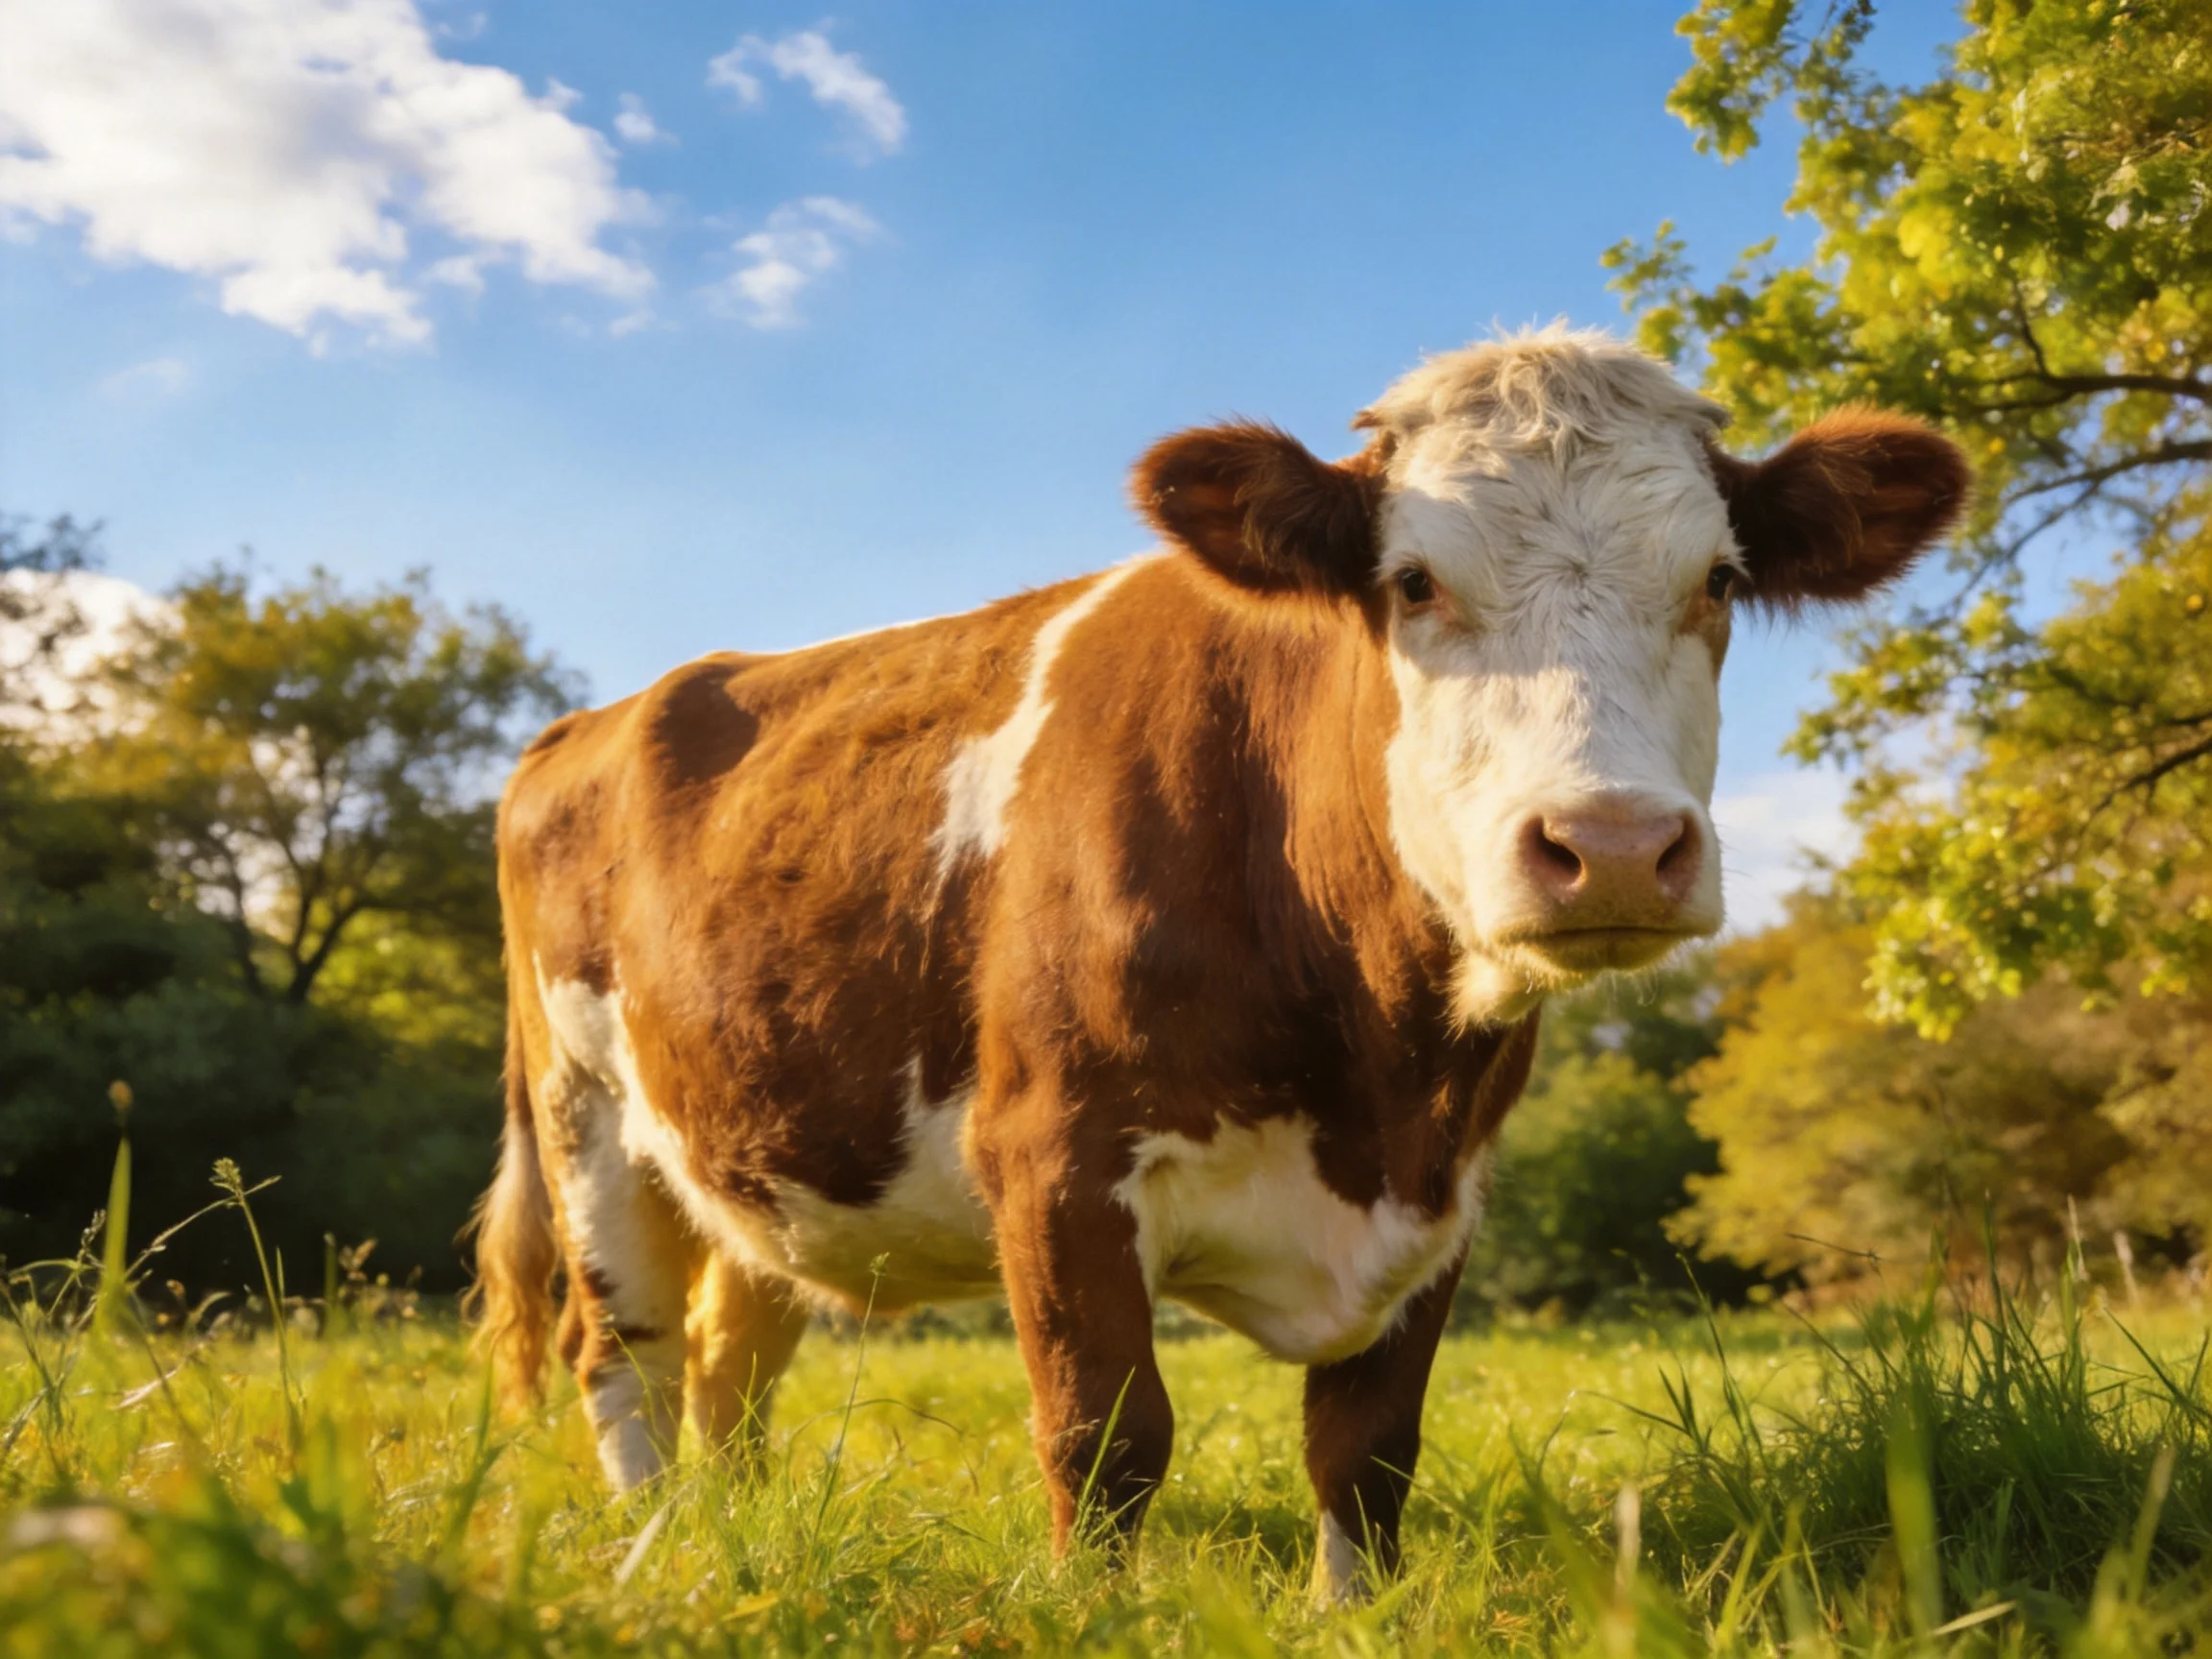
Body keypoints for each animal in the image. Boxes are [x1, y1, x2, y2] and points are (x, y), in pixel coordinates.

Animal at [470, 326, 1966, 1602]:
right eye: (1412, 582)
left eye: (1718, 581)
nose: (1607, 845)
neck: (1377, 1075)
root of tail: (597, 718)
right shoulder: (1053, 1155)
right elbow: (1106, 1430)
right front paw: (1087, 1609)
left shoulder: (1448, 1190)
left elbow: (1365, 1448)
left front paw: (1350, 1614)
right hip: (585, 1117)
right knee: (623, 1350)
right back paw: (653, 1549)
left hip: (755, 1153)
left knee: (729, 1353)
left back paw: (727, 1535)